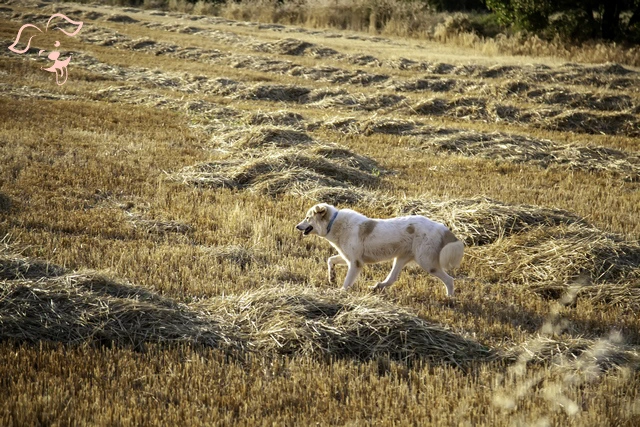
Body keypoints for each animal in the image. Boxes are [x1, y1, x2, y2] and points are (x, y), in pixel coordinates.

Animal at [296, 204, 464, 298]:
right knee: (392, 279)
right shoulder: (348, 257)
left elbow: (346, 282)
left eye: (307, 218)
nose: (297, 226)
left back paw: (449, 298)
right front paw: (331, 277)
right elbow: (330, 260)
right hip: (401, 259)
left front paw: (340, 293)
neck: (334, 223)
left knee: (450, 280)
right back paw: (377, 287)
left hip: (427, 263)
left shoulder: (355, 263)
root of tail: (441, 227)